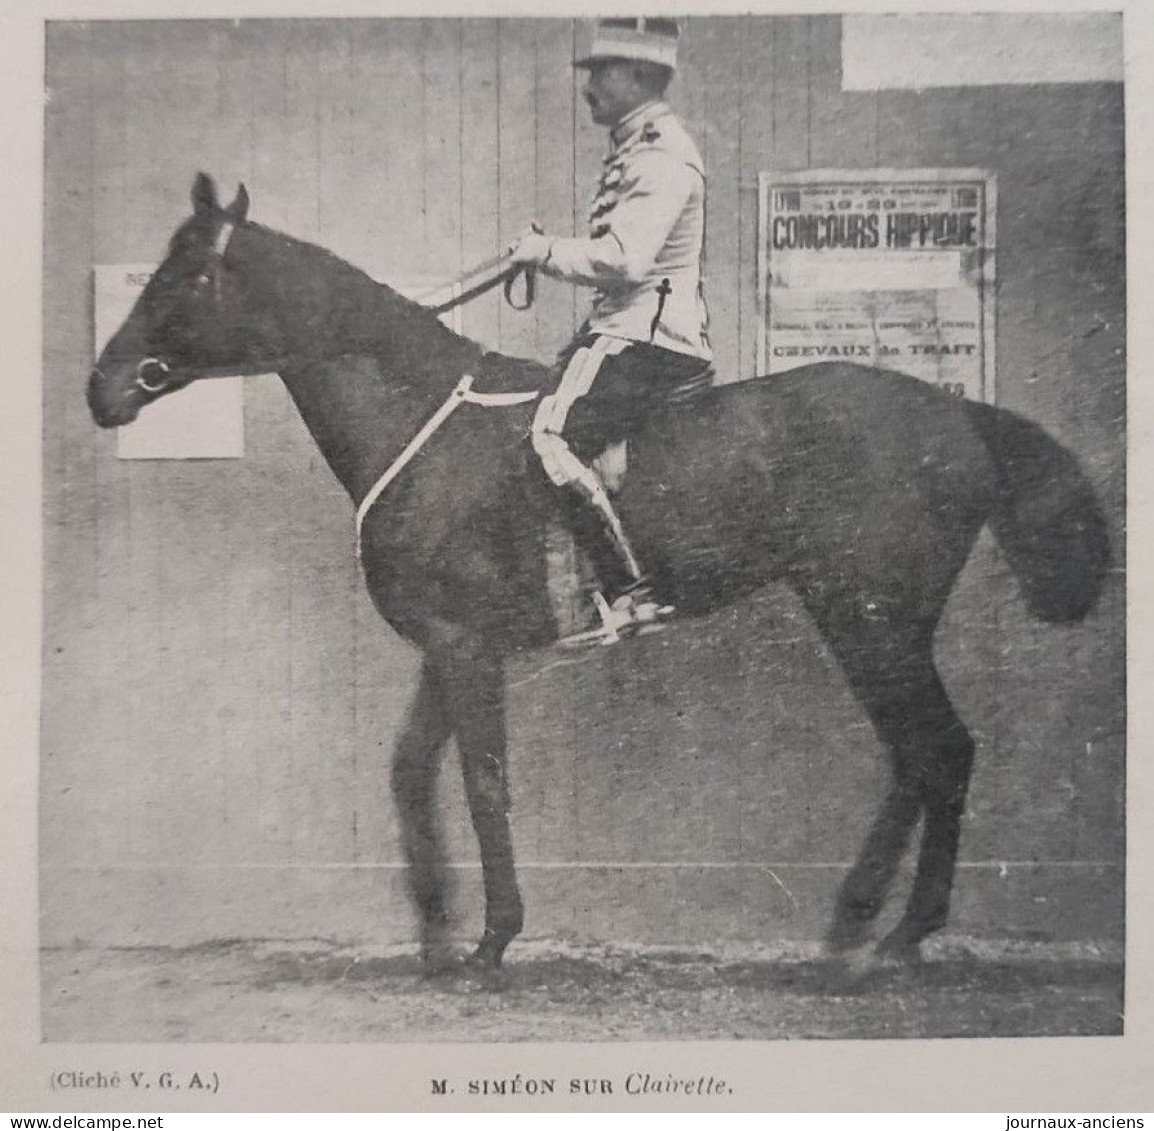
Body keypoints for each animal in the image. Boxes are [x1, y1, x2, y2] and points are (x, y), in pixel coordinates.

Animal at [83, 176, 1107, 974]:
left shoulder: (466, 650)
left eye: (189, 275)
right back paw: (861, 923)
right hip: (868, 621)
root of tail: (956, 413)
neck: (425, 422)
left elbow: (483, 780)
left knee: (940, 750)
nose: (103, 388)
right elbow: (412, 772)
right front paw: (436, 930)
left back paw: (895, 933)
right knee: (918, 756)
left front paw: (492, 939)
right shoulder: (450, 649)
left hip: (870, 618)